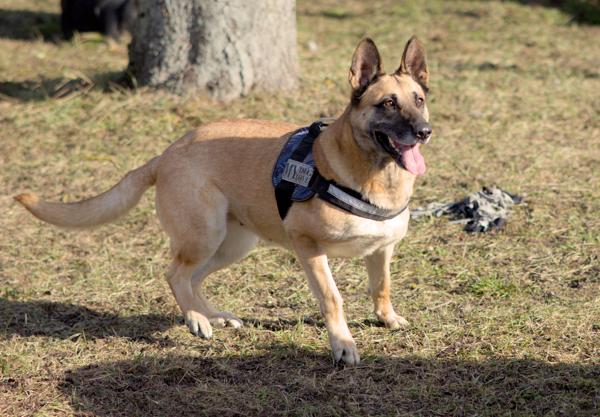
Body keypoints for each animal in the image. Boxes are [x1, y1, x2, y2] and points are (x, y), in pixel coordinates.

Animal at [15, 37, 432, 365]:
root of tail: (166, 154)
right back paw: (196, 320)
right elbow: (333, 298)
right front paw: (342, 344)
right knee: (175, 274)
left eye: (419, 99)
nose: (424, 132)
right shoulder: (308, 246)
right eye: (387, 104)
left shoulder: (382, 250)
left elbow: (381, 287)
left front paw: (386, 318)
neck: (371, 174)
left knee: (193, 277)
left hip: (232, 244)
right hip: (206, 235)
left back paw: (211, 316)